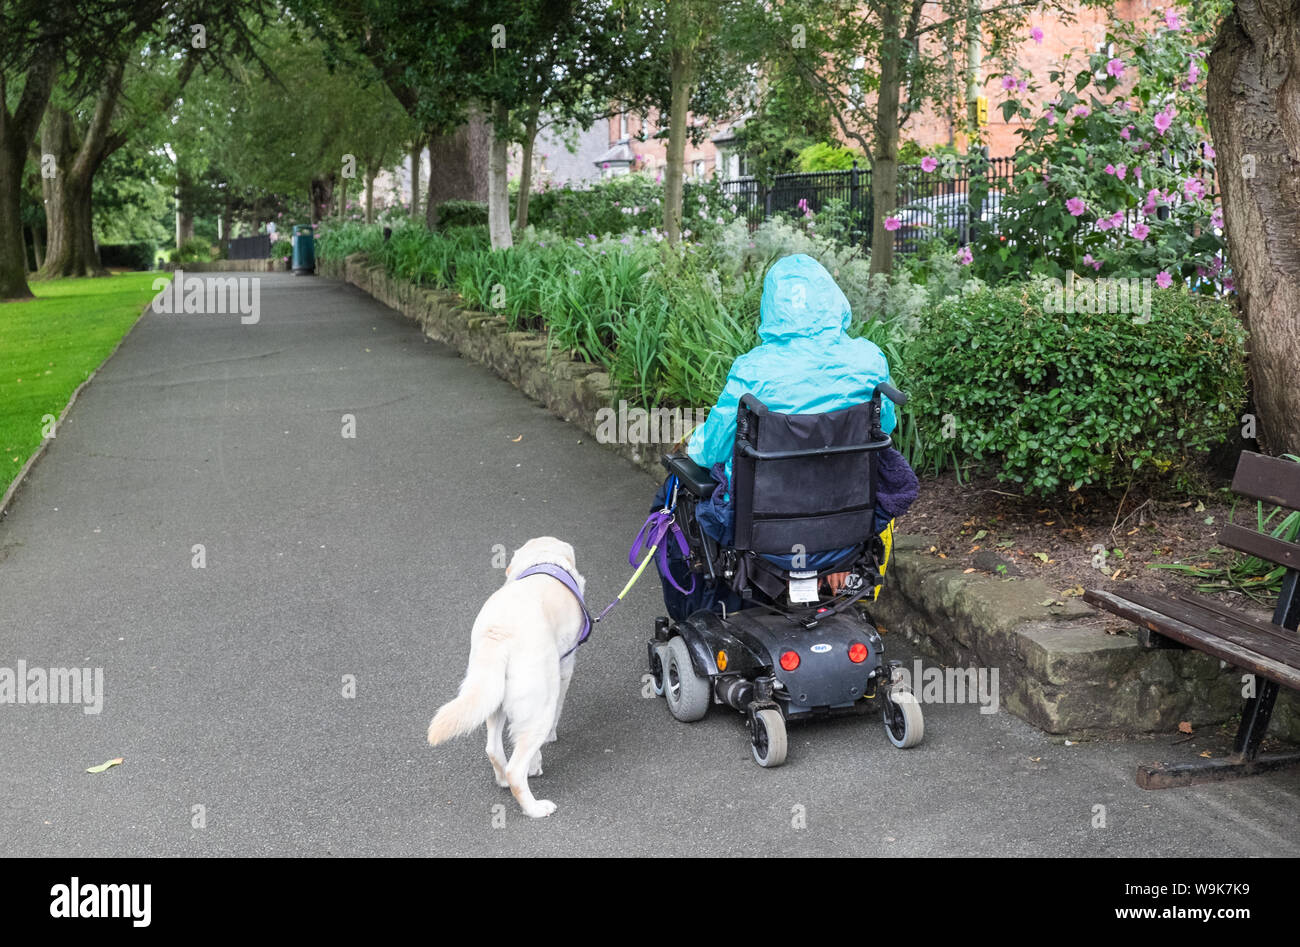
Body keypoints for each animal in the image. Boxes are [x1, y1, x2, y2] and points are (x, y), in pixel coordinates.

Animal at [426, 535, 590, 816]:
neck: (543, 561)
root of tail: (499, 633)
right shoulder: (565, 668)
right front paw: (544, 751)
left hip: (492, 694)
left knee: (493, 748)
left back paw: (502, 778)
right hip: (540, 703)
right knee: (516, 767)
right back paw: (535, 807)